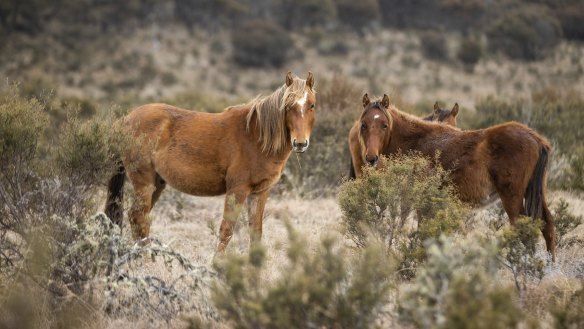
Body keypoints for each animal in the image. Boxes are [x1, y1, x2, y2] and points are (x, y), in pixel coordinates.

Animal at [105, 71, 314, 251]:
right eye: (288, 105)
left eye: (311, 105)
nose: (300, 143)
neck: (256, 137)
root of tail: (125, 120)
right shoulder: (237, 190)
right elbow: (226, 230)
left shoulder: (260, 192)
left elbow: (255, 233)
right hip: (144, 182)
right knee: (138, 218)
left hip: (157, 184)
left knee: (140, 218)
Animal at [350, 93, 556, 258]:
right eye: (364, 125)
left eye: (384, 125)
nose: (371, 158)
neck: (418, 141)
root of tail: (536, 139)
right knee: (547, 226)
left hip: (512, 197)